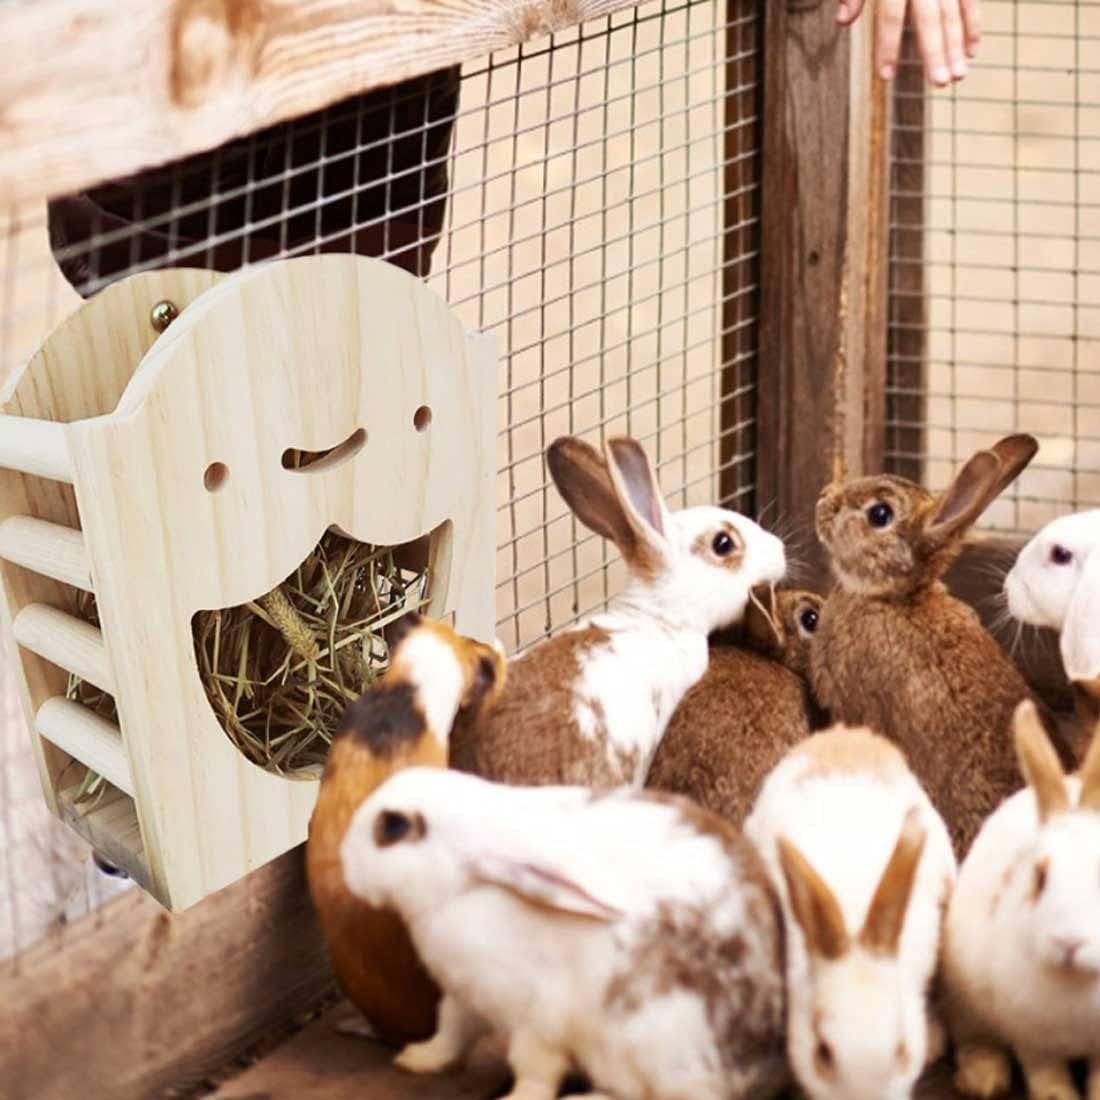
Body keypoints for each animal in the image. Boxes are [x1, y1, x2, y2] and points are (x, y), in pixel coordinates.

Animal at [339, 766, 790, 1100]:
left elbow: (534, 1069)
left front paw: (515, 1099)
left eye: (393, 827)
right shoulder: (463, 996)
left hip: (649, 1043)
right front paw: (416, 1058)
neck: (464, 889)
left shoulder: (536, 1016)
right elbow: (449, 1032)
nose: (344, 860)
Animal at [941, 699, 1100, 1100]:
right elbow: (1046, 1075)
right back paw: (984, 1078)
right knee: (976, 1040)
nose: (1069, 942)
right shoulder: (1031, 1039)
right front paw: (1057, 1096)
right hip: (965, 1001)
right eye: (1039, 878)